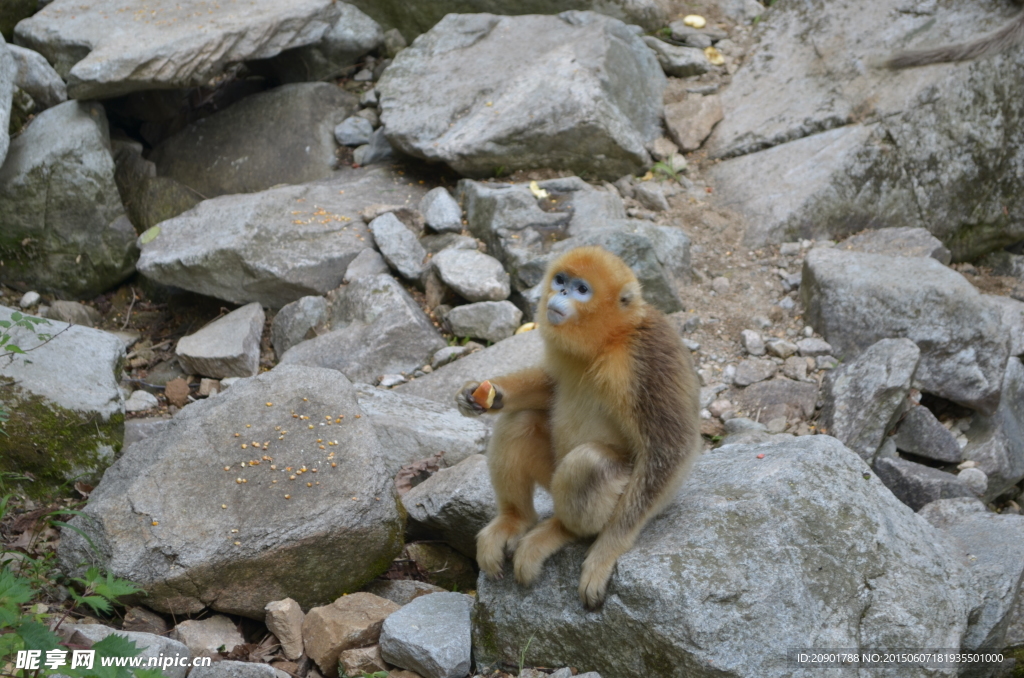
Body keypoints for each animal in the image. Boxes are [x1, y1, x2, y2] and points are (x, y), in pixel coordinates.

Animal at [458, 245, 704, 610]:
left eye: (581, 290)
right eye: (561, 280)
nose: (559, 293)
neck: (609, 340)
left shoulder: (644, 358)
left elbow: (670, 448)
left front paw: (607, 550)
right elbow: (550, 387)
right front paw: (487, 395)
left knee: (590, 463)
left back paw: (563, 531)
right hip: (551, 472)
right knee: (520, 420)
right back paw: (516, 520)